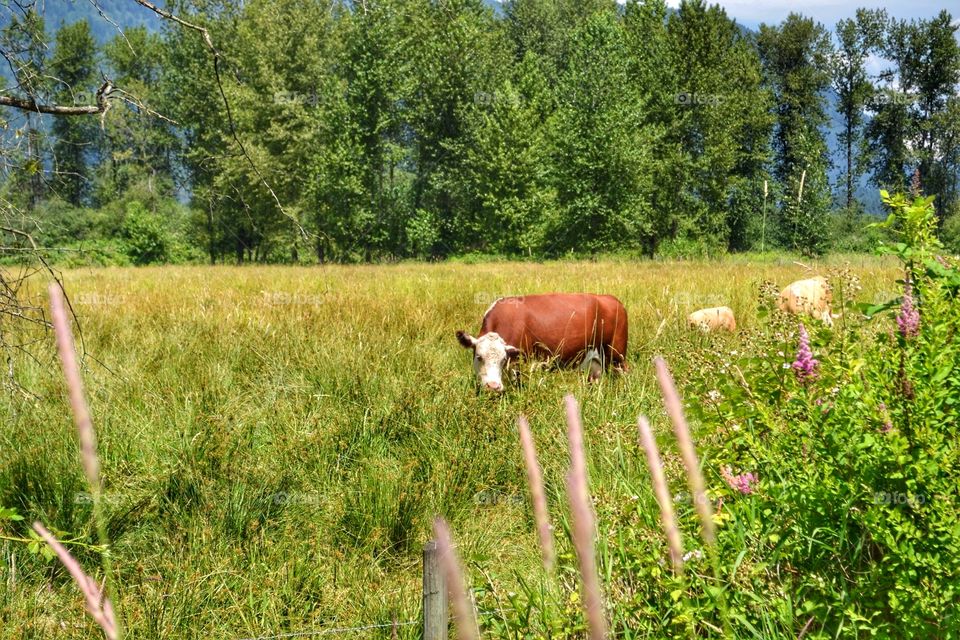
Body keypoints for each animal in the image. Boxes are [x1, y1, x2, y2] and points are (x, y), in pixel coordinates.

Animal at [458, 294, 632, 392]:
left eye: (503, 359)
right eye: (479, 357)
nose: (493, 386)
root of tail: (610, 298)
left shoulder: (520, 365)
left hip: (617, 355)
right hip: (595, 362)